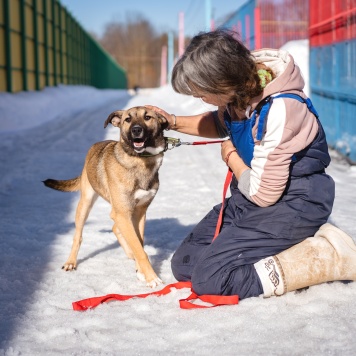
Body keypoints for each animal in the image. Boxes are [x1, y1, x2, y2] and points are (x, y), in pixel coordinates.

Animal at [42, 105, 168, 286]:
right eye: (127, 119)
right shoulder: (123, 212)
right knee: (78, 236)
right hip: (86, 203)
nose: (136, 130)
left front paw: (141, 271)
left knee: (115, 227)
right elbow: (140, 249)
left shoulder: (139, 212)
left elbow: (139, 243)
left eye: (148, 117)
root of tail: (96, 145)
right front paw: (152, 277)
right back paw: (71, 262)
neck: (140, 161)